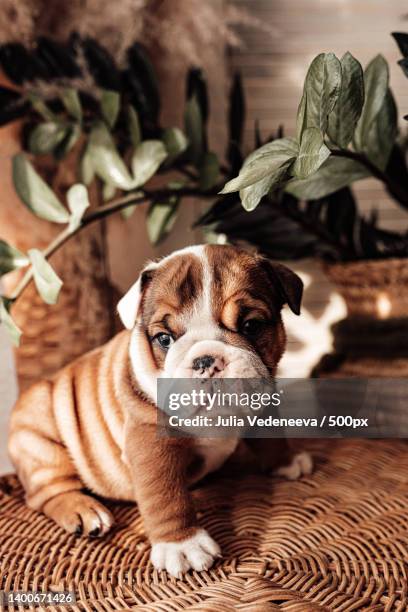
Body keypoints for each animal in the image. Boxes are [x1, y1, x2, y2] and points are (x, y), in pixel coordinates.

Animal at [8, 243, 312, 572]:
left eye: (251, 326)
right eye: (164, 339)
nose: (206, 360)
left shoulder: (262, 400)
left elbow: (271, 437)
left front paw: (286, 461)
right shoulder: (151, 445)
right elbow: (165, 495)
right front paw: (182, 545)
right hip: (39, 442)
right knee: (45, 493)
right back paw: (83, 511)